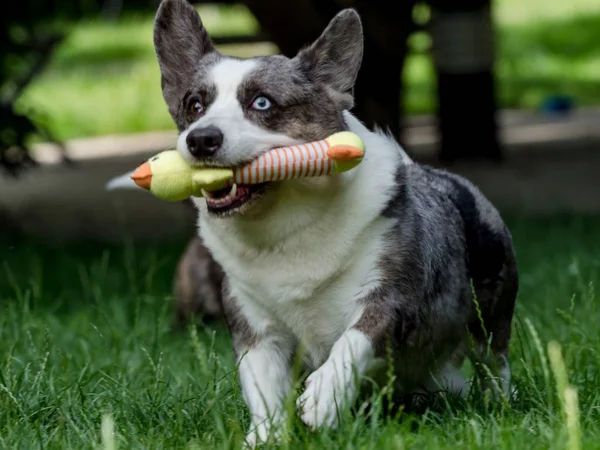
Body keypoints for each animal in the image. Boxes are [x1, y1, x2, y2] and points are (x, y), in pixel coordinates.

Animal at [152, 0, 516, 442]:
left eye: (262, 103)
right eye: (194, 105)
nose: (201, 139)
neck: (285, 228)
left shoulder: (391, 299)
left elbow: (352, 343)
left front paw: (323, 400)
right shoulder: (255, 327)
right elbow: (263, 387)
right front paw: (267, 437)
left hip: (491, 316)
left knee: (493, 360)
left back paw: (499, 403)